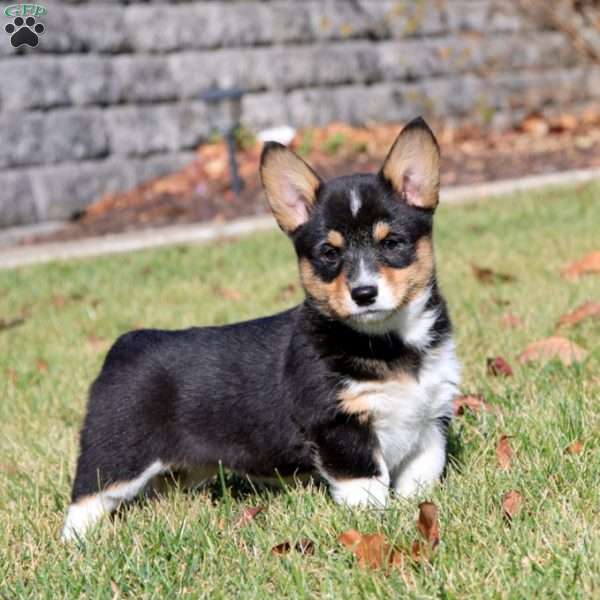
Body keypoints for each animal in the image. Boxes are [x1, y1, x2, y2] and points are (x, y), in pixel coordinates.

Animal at [63, 116, 462, 540]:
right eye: (329, 253)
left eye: (392, 243)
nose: (364, 293)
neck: (390, 342)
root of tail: (125, 344)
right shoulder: (339, 427)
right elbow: (367, 487)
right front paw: (375, 524)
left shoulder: (429, 423)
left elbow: (419, 480)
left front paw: (414, 511)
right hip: (117, 454)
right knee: (85, 501)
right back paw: (77, 544)